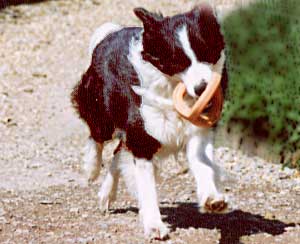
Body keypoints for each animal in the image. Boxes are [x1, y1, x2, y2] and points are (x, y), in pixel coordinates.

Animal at [71, 3, 229, 239]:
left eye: (205, 52)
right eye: (178, 61)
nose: (203, 88)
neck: (173, 92)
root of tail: (109, 35)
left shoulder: (197, 130)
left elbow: (202, 164)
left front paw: (213, 199)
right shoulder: (142, 136)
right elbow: (146, 185)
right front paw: (154, 225)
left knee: (118, 151)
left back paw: (107, 193)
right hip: (102, 109)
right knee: (98, 136)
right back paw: (91, 168)